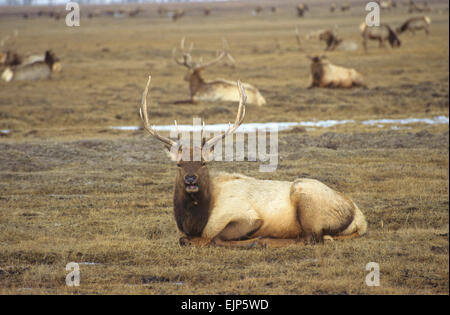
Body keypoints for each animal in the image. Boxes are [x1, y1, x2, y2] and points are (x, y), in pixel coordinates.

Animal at [141, 75, 370, 248]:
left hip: (306, 196)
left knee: (312, 238)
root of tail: (360, 218)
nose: (190, 179)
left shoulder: (248, 217)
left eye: (204, 163)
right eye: (179, 164)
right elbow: (183, 238)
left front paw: (254, 240)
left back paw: (266, 240)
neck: (196, 222)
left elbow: (215, 238)